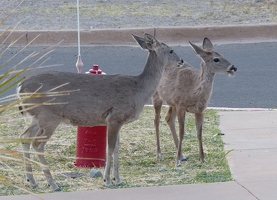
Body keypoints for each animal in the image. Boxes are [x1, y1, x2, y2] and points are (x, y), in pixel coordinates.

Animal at [16, 32, 182, 191]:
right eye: (171, 50)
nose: (181, 61)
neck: (138, 90)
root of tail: (20, 87)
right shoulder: (114, 117)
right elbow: (110, 148)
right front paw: (107, 180)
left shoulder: (118, 121)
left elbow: (117, 148)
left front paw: (118, 179)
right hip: (49, 115)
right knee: (37, 143)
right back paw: (53, 184)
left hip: (38, 117)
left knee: (24, 137)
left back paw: (32, 182)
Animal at [152, 37, 236, 167]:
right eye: (216, 59)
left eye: (222, 55)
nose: (233, 67)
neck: (194, 91)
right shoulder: (181, 106)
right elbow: (182, 132)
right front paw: (177, 162)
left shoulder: (200, 110)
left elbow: (199, 133)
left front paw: (202, 158)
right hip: (157, 96)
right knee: (156, 120)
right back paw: (159, 154)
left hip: (172, 103)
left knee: (168, 118)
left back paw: (181, 154)